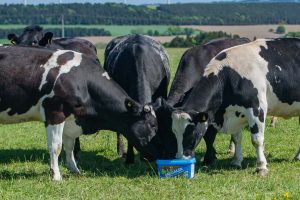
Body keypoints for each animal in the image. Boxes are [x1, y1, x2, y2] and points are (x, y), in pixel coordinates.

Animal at [0, 45, 159, 181]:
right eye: (153, 125)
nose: (159, 154)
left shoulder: (71, 119)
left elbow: (69, 146)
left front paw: (74, 169)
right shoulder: (55, 113)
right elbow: (56, 146)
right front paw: (56, 175)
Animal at [170, 38, 300, 176]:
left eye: (191, 132)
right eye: (174, 132)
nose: (179, 159)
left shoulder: (257, 109)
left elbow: (257, 140)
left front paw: (261, 167)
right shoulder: (236, 112)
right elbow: (237, 138)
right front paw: (236, 161)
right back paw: (297, 157)